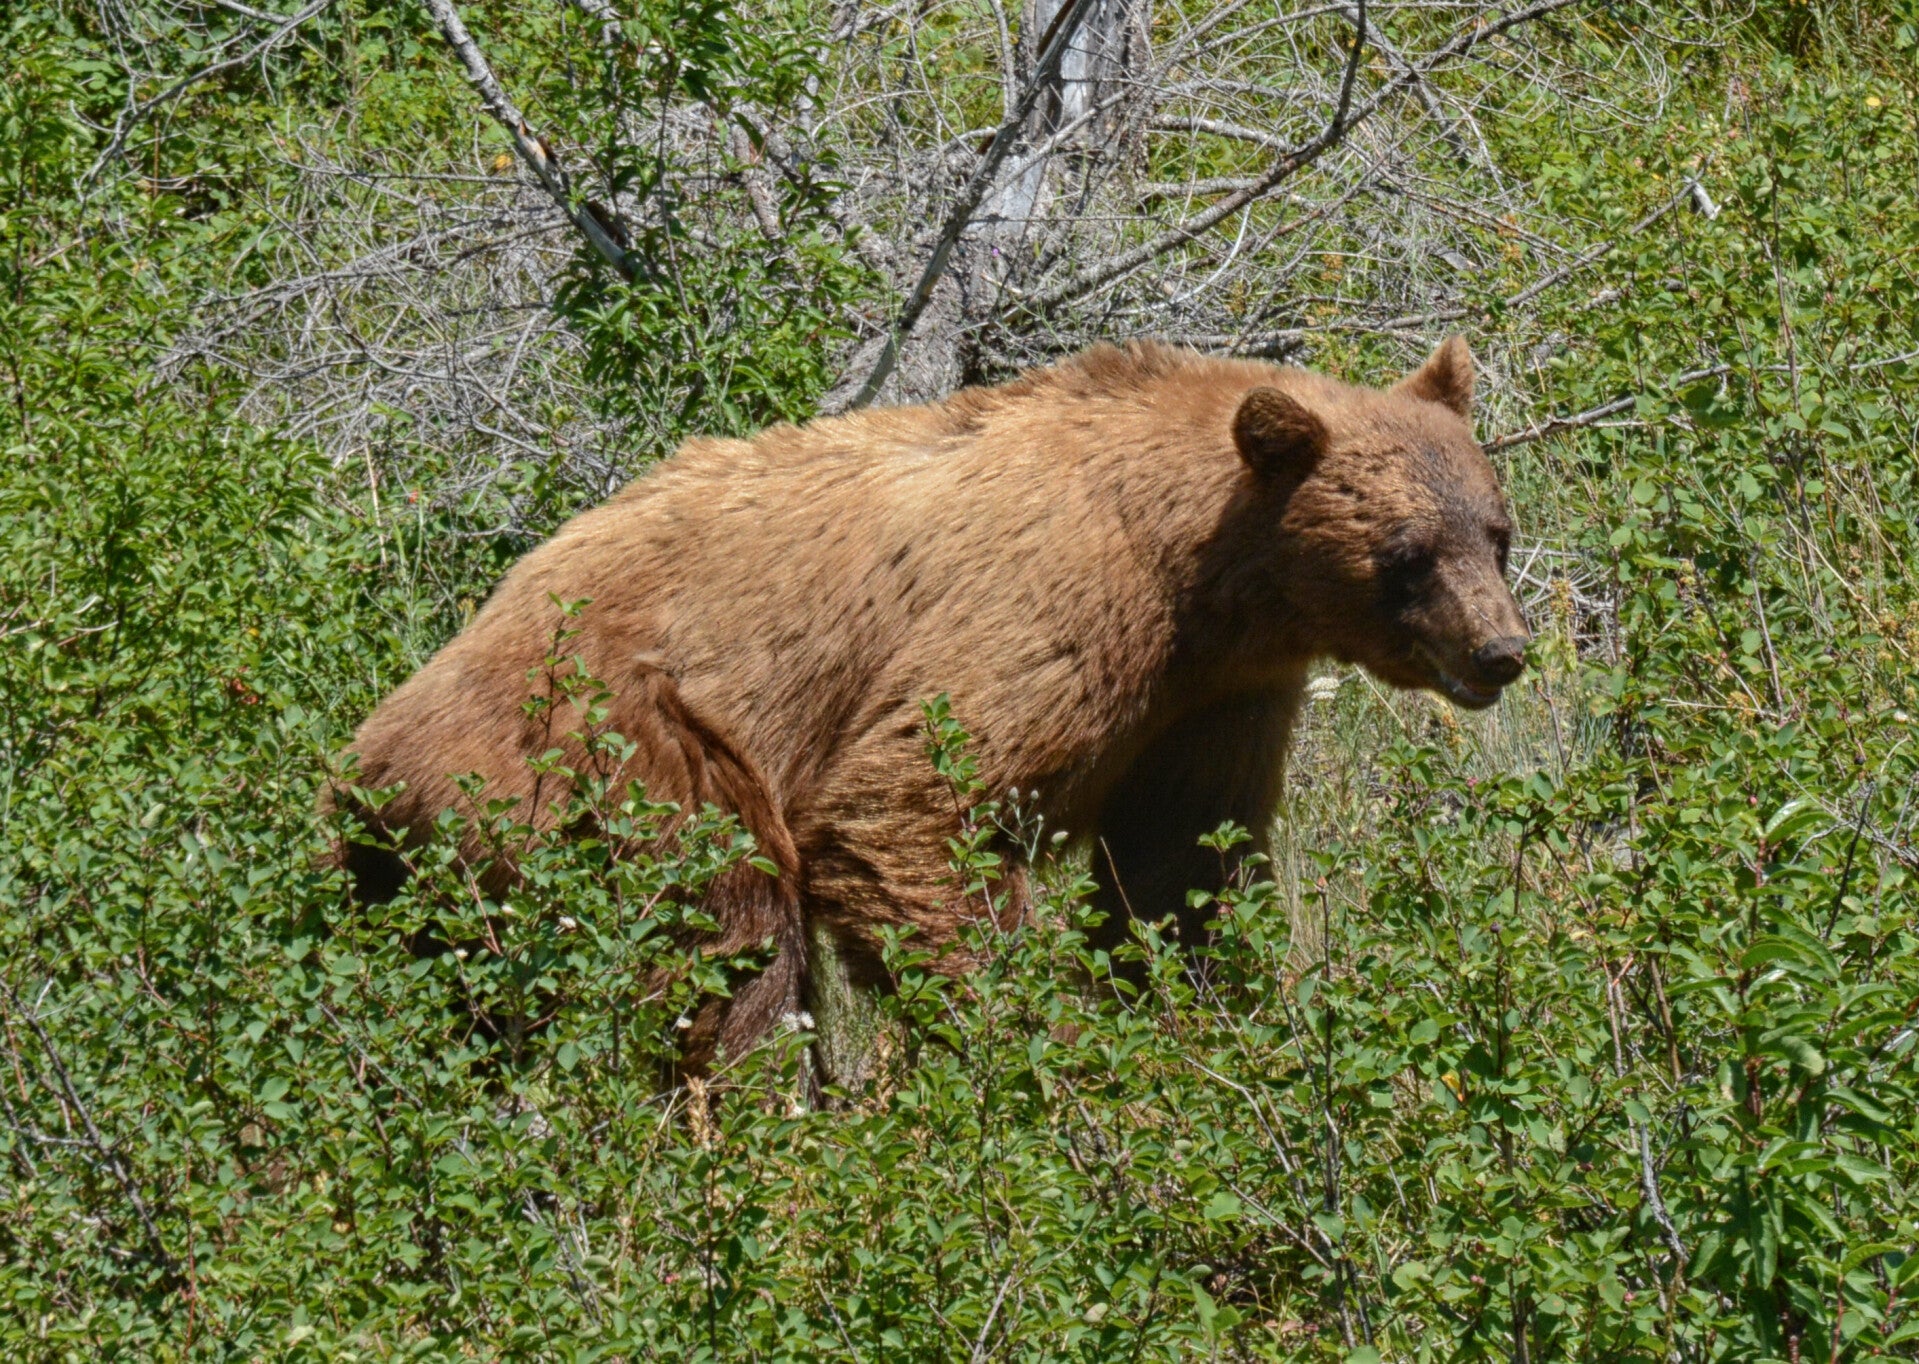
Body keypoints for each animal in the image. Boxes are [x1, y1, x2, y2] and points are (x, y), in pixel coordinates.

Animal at [332, 336, 1529, 1070]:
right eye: (1405, 553)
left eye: (1495, 529)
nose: (1501, 649)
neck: (1206, 575)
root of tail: (369, 754)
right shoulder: (1056, 613)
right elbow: (906, 806)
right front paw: (1043, 1055)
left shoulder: (1212, 698)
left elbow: (1176, 869)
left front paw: (1200, 1020)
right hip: (606, 750)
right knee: (730, 940)